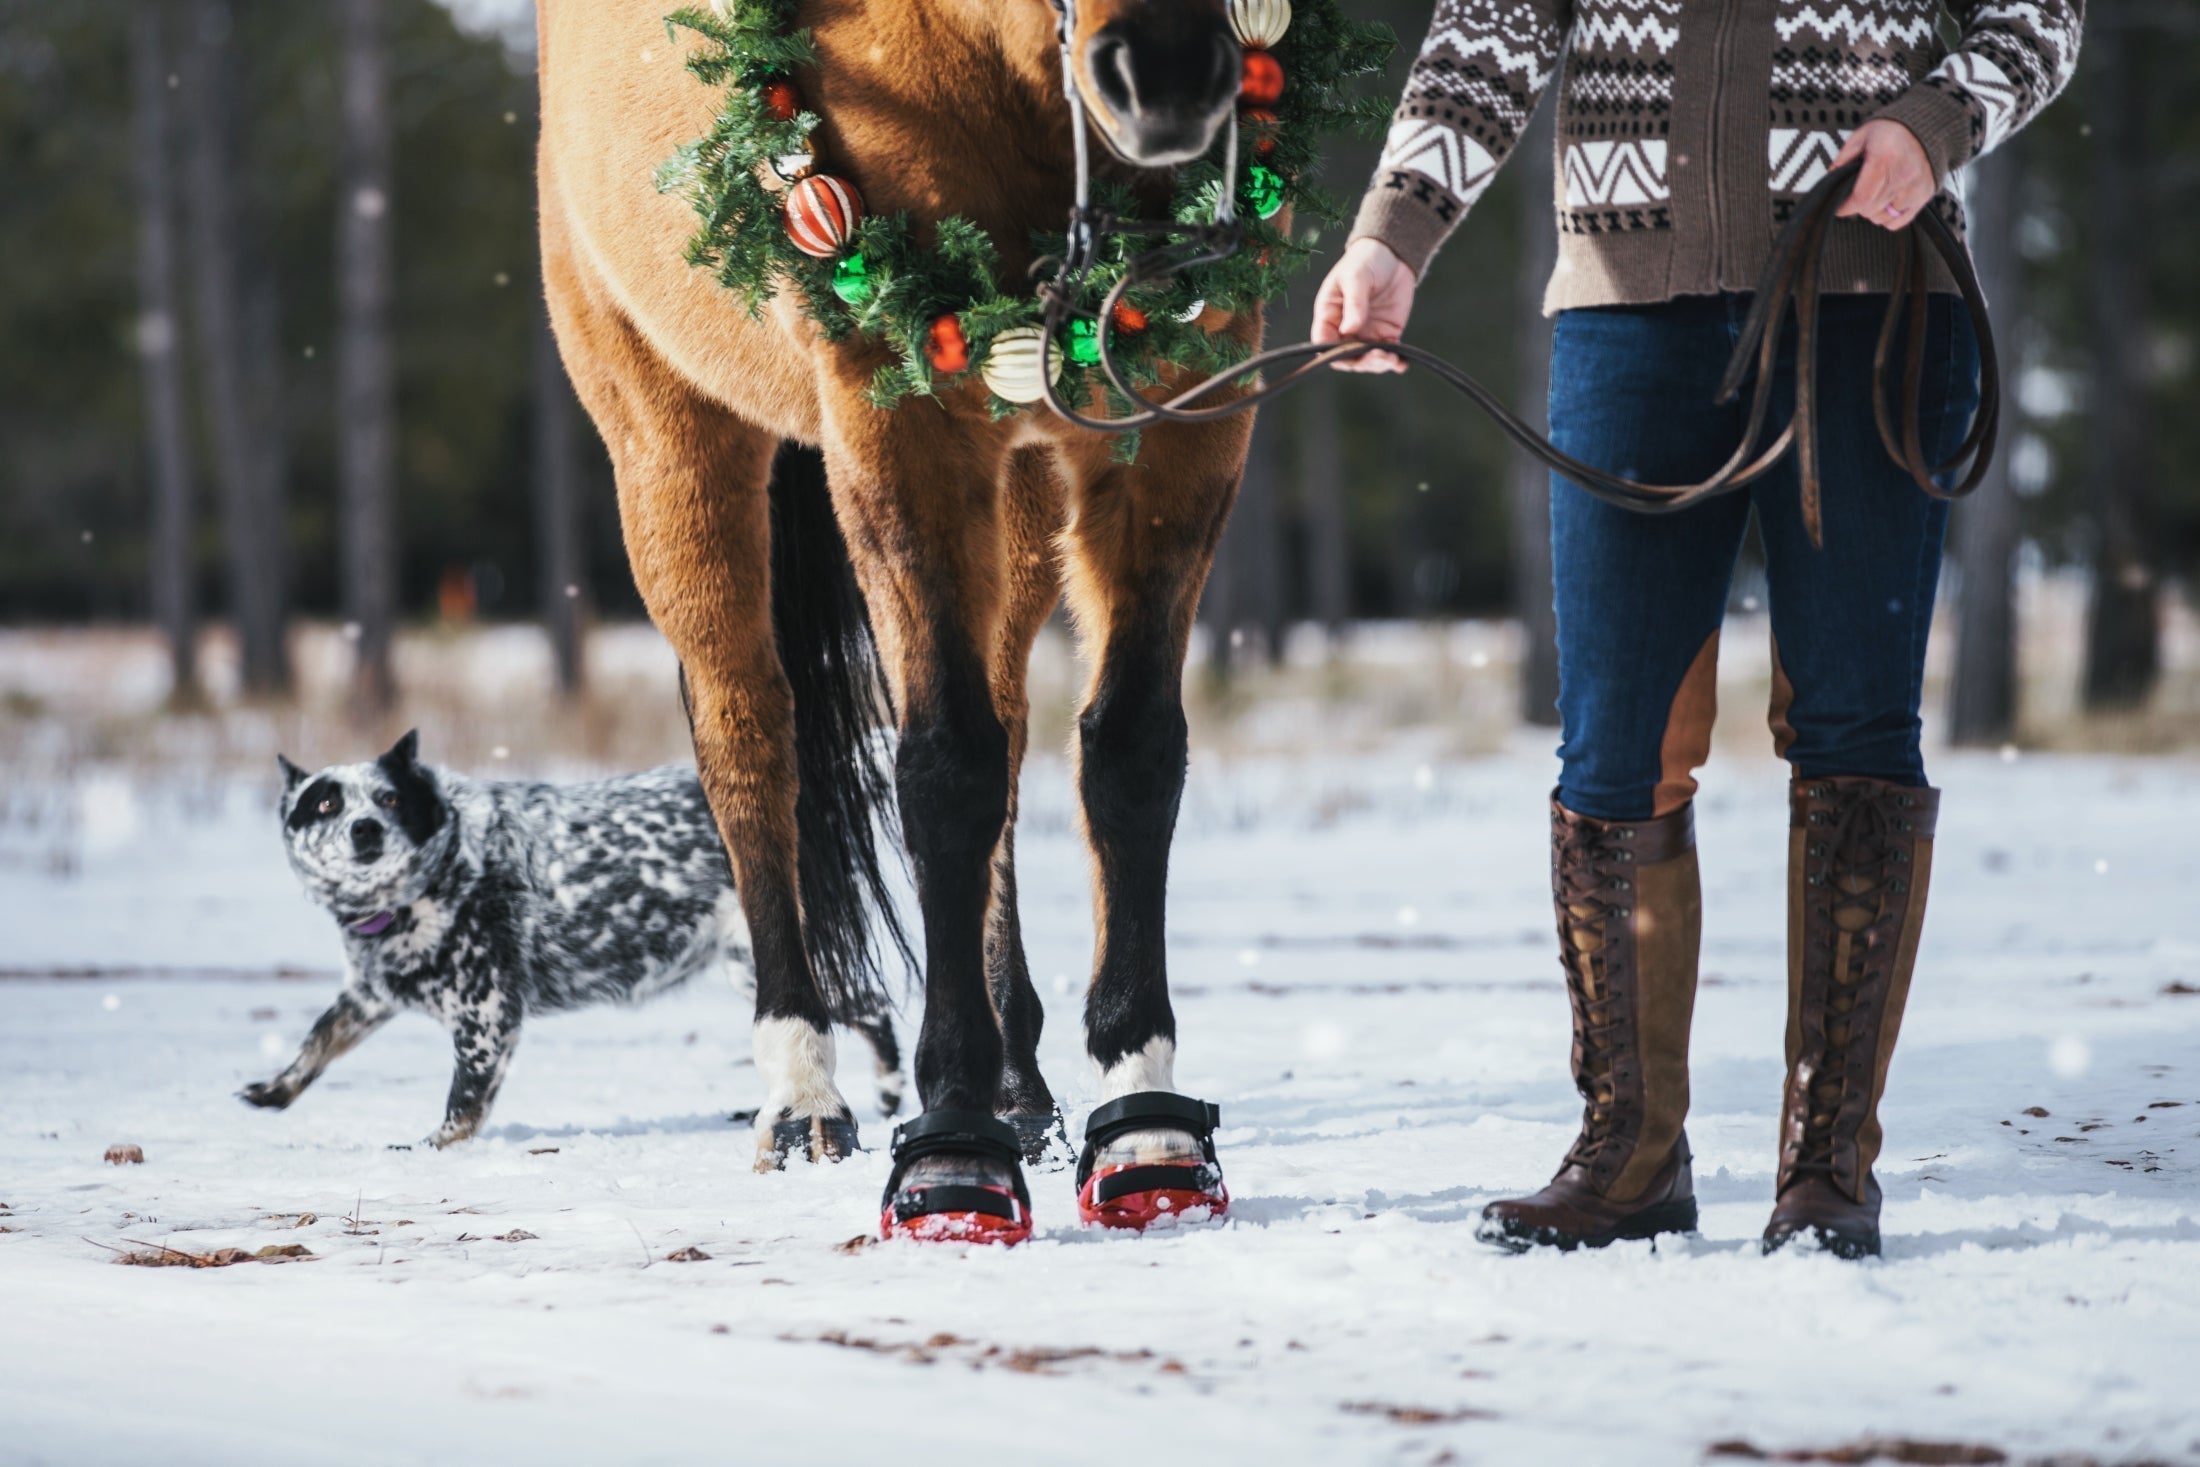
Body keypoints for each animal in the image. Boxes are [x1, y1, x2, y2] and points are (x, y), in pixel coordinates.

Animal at [537, 0, 1251, 1240]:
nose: (1163, 75)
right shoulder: (902, 426)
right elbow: (943, 772)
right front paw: (952, 1146)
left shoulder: (1183, 415)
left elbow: (1129, 758)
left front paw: (1144, 1122)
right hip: (671, 449)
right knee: (750, 751)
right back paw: (801, 1096)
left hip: (1018, 492)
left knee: (1012, 734)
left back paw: (1022, 1088)